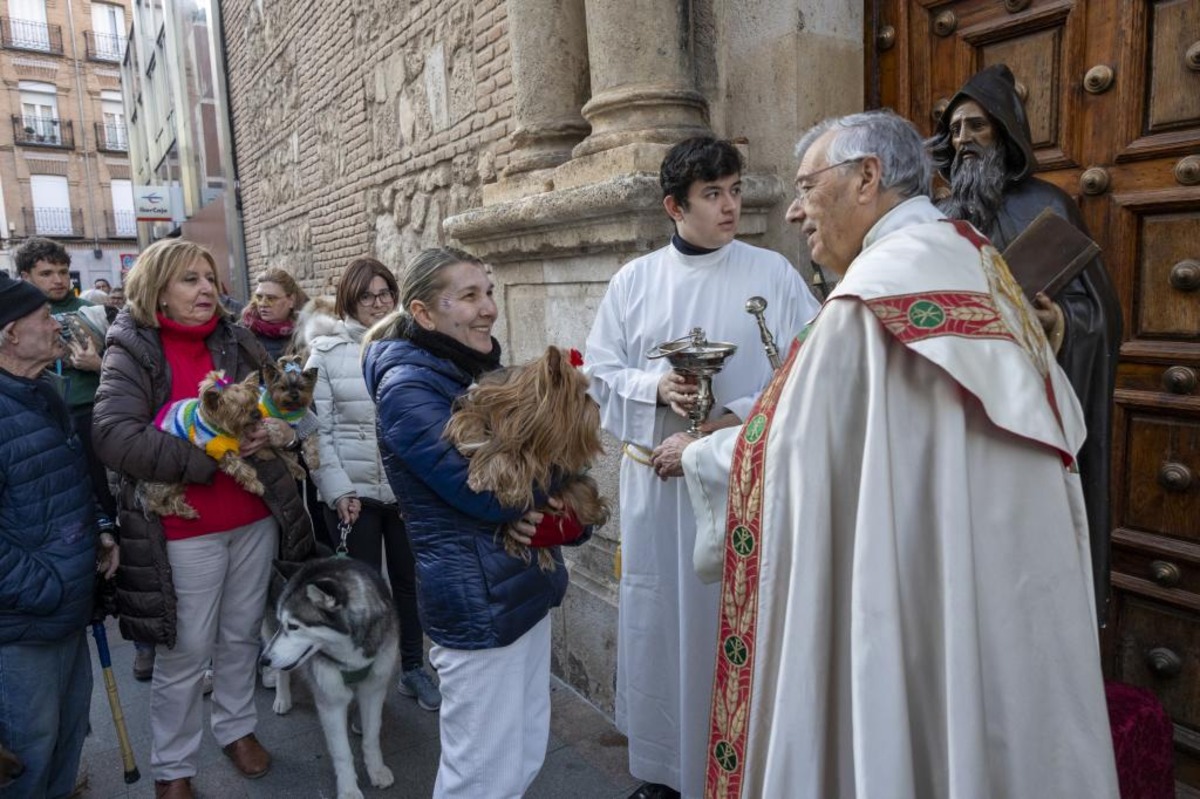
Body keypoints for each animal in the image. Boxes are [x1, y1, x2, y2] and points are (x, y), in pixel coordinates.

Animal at [261, 554, 400, 796]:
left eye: (294, 626)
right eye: (283, 623)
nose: (263, 660)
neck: (350, 655)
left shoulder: (374, 687)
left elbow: (372, 736)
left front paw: (376, 769)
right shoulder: (331, 700)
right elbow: (342, 752)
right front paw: (349, 790)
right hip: (269, 634)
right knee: (281, 671)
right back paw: (282, 698)